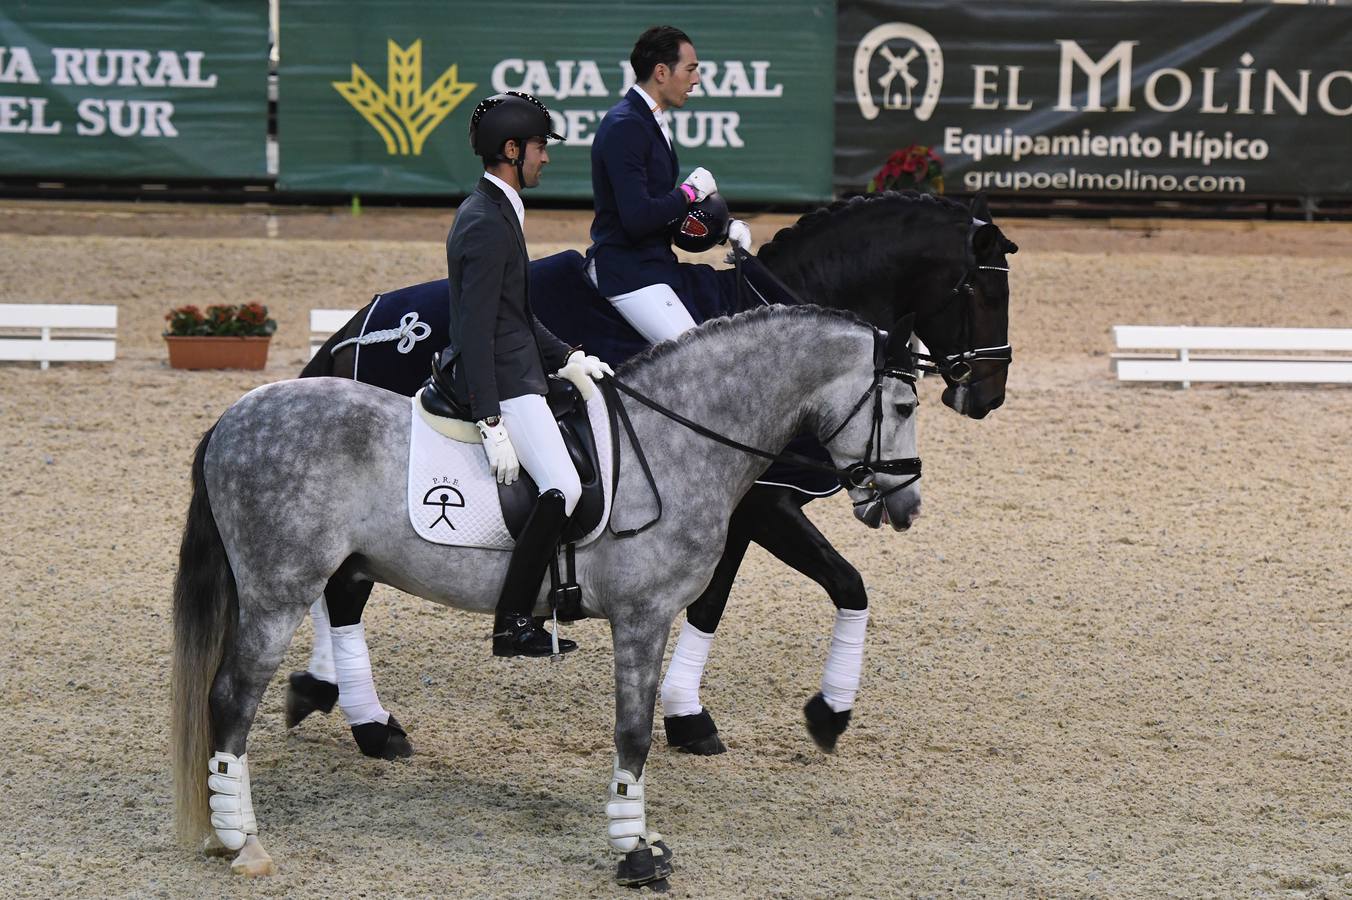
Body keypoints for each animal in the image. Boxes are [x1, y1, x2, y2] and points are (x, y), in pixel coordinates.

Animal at [174, 305, 924, 881]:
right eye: (905, 404)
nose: (907, 504)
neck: (677, 437)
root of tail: (235, 416)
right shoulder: (642, 617)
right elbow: (632, 733)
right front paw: (634, 851)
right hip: (279, 591)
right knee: (232, 698)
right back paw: (242, 841)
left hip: (336, 570)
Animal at [296, 193, 1016, 751]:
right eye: (983, 290)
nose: (987, 396)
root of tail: (357, 327)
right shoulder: (765, 505)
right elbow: (841, 584)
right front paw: (813, 711)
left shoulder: (736, 511)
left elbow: (715, 602)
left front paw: (687, 711)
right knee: (341, 590)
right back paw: (361, 714)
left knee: (337, 584)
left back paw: (327, 690)